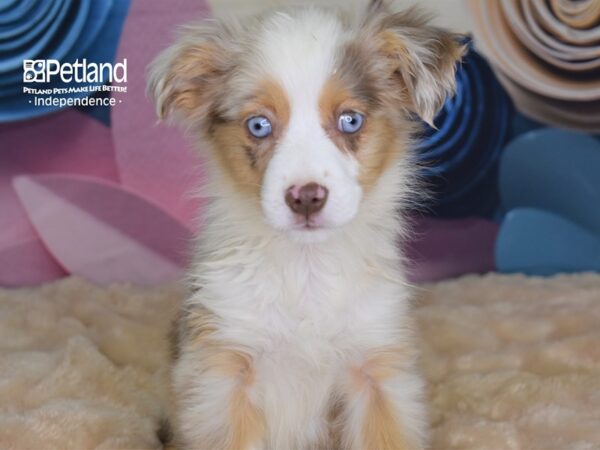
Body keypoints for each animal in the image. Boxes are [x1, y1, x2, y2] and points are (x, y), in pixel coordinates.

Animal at [148, 1, 462, 448]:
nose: (307, 198)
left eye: (351, 120)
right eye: (258, 125)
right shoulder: (224, 371)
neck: (306, 269)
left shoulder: (376, 369)